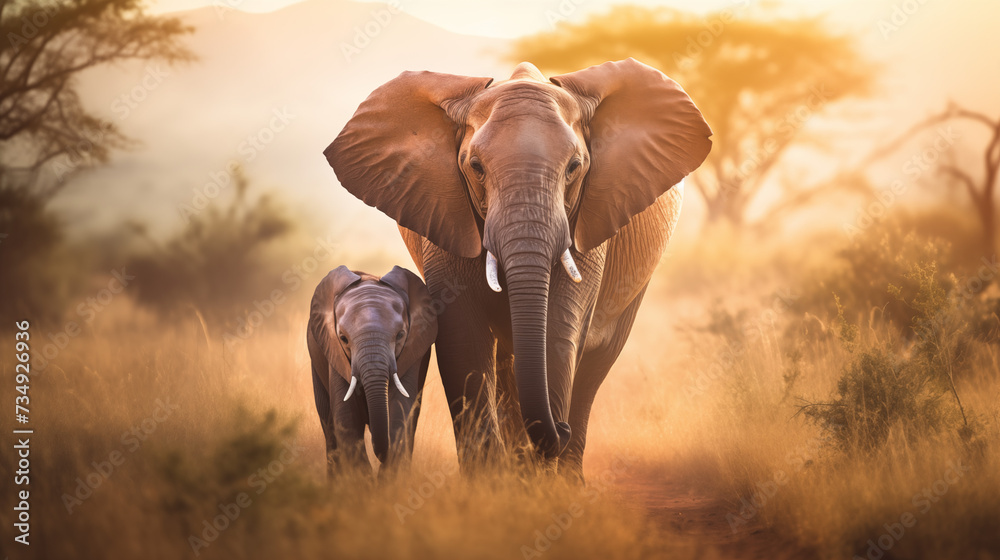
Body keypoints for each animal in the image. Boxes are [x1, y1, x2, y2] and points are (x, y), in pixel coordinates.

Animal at [307, 265, 437, 476]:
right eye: (343, 338)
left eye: (400, 335)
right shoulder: (333, 352)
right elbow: (347, 420)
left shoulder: (414, 353)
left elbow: (399, 413)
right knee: (328, 426)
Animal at [324, 58, 711, 478]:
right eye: (476, 167)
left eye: (575, 167)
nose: (559, 427)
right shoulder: (447, 215)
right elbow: (462, 337)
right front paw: (489, 483)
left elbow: (559, 329)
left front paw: (538, 483)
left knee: (596, 362)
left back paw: (564, 475)